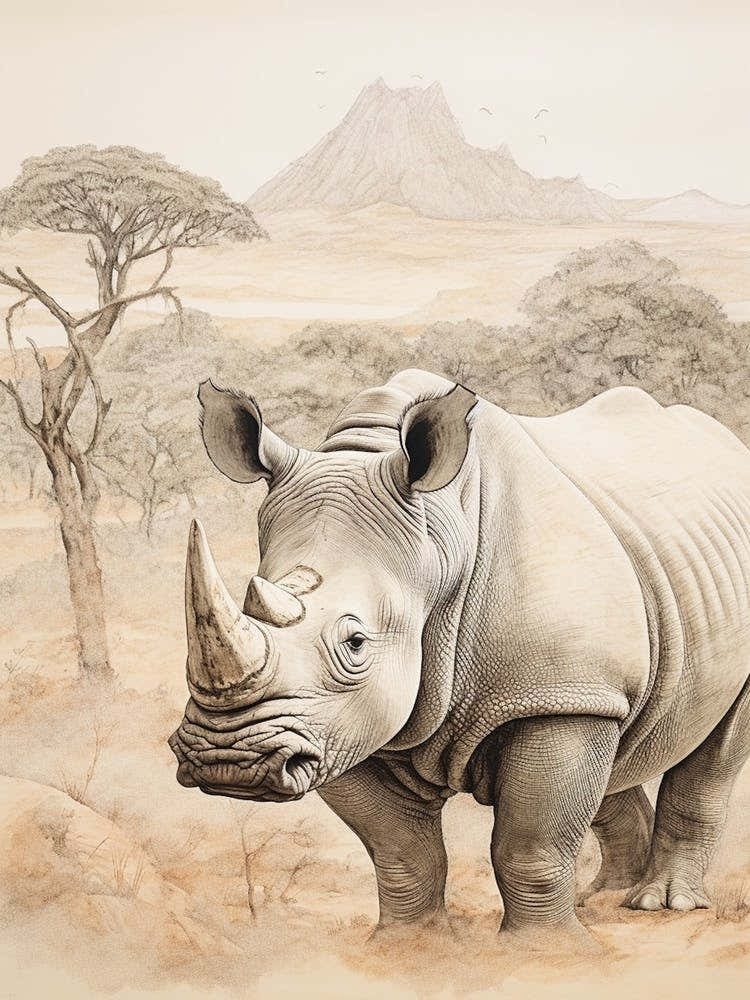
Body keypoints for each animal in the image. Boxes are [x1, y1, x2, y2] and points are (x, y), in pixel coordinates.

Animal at [170, 368, 750, 945]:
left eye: (355, 643)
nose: (228, 761)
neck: (440, 542)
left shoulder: (557, 694)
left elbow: (531, 845)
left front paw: (546, 952)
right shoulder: (337, 724)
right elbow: (402, 850)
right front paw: (409, 947)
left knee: (709, 755)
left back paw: (661, 906)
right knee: (618, 746)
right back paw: (605, 900)